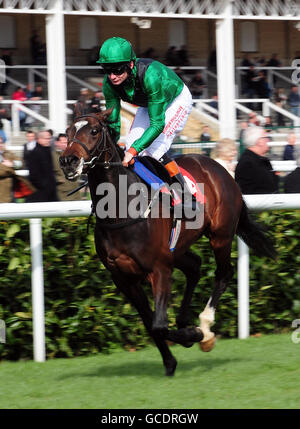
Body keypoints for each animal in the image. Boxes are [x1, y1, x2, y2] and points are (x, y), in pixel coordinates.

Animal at [59, 109, 276, 374]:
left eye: (93, 131)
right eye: (67, 132)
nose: (68, 161)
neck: (121, 209)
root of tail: (221, 168)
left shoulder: (159, 269)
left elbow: (159, 325)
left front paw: (195, 335)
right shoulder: (123, 278)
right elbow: (150, 323)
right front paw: (171, 360)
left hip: (221, 235)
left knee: (223, 273)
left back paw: (204, 327)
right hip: (178, 249)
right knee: (194, 266)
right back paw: (185, 321)